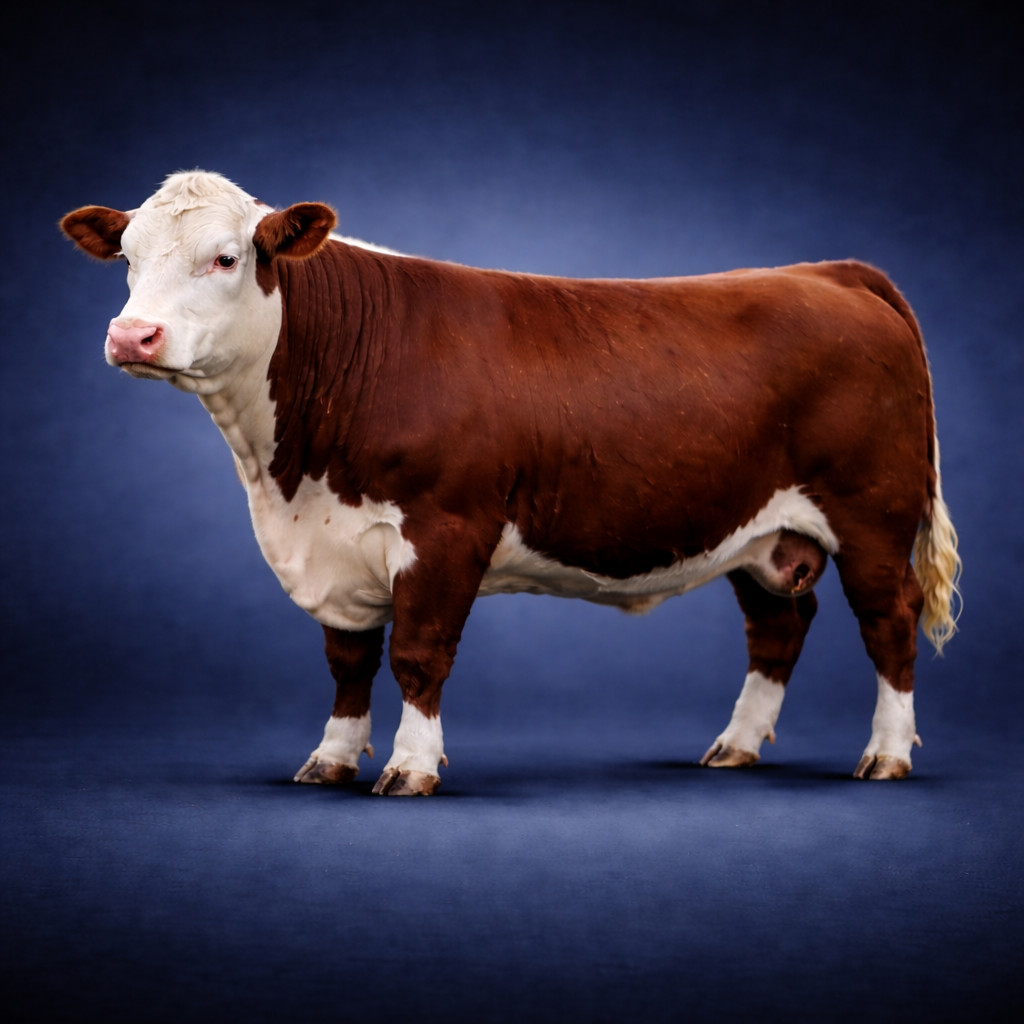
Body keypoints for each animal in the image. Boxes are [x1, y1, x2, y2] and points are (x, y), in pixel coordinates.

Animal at [61, 171, 961, 795]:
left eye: (226, 257)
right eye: (128, 260)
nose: (132, 335)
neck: (288, 478)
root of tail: (826, 271)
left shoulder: (446, 527)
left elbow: (418, 655)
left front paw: (412, 768)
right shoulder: (333, 547)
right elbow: (347, 662)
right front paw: (330, 760)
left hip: (872, 514)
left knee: (889, 625)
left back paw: (884, 756)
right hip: (760, 531)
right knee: (779, 627)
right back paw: (734, 748)